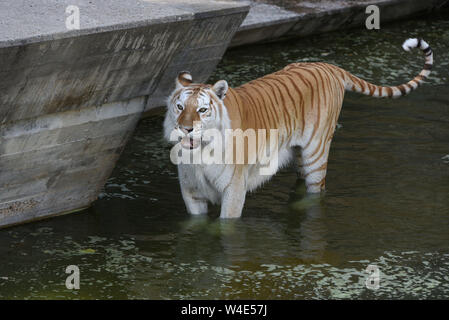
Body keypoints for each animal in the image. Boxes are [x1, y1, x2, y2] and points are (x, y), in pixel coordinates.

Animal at [163, 37, 432, 218]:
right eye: (179, 107)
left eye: (202, 110)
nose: (185, 128)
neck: (199, 153)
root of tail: (328, 65)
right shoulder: (192, 192)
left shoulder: (234, 190)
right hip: (299, 154)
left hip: (316, 154)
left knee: (317, 192)